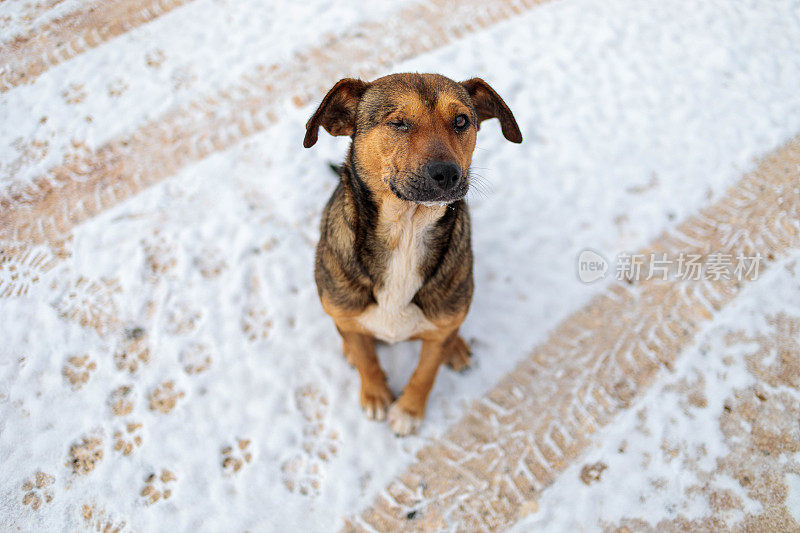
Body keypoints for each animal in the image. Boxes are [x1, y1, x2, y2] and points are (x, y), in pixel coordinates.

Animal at [304, 72, 520, 434]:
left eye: (461, 121)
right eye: (399, 123)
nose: (447, 173)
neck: (406, 231)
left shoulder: (441, 326)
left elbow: (426, 372)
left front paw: (408, 410)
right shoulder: (343, 308)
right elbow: (366, 358)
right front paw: (376, 394)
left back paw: (457, 348)